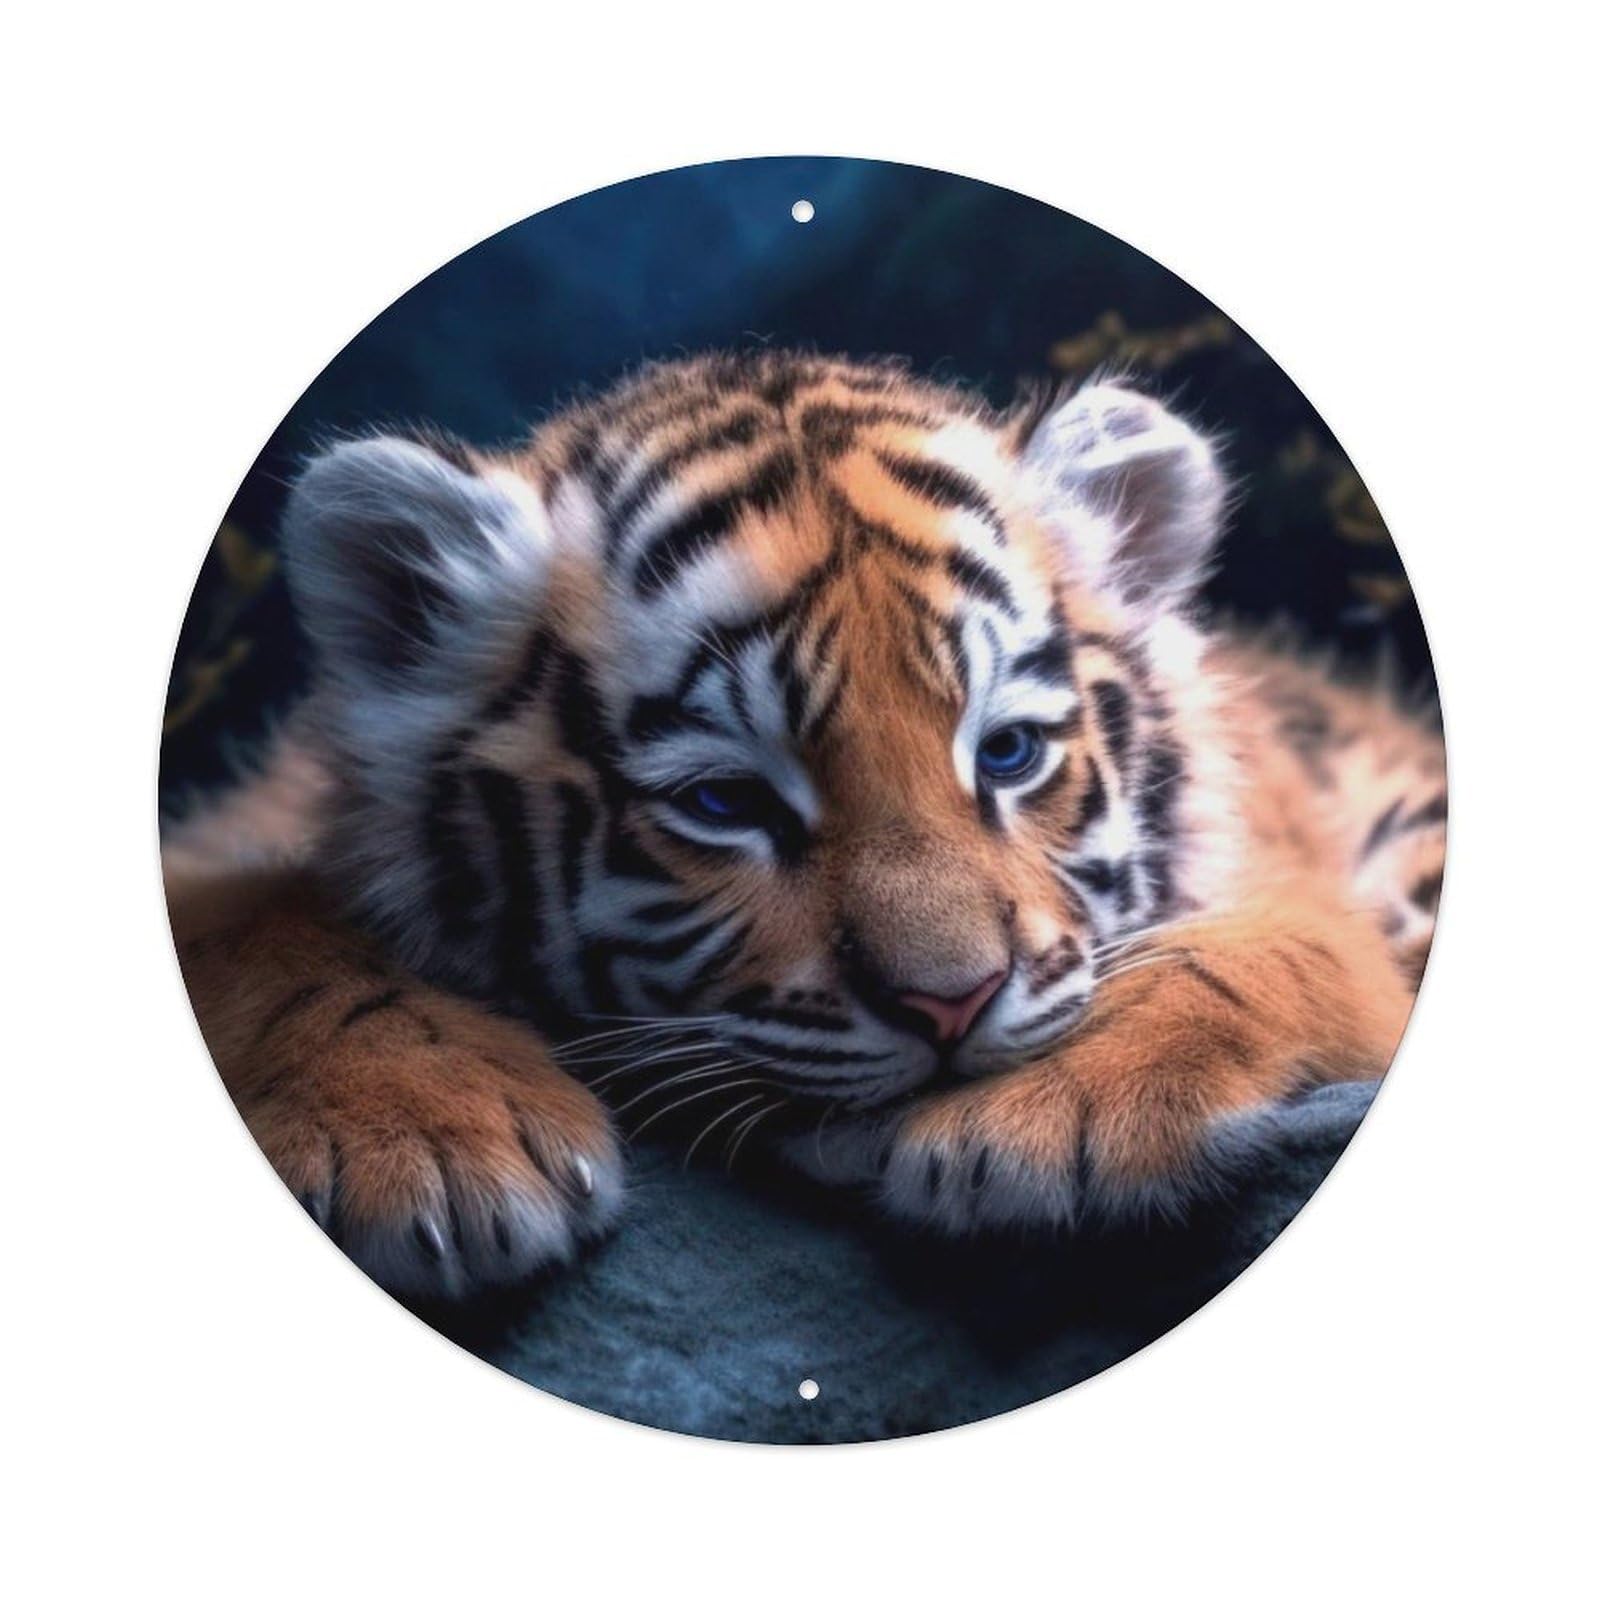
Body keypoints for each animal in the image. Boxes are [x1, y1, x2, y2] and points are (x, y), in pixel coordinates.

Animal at [164, 349, 1446, 1300]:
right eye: (724, 803)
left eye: (1007, 753)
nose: (949, 1005)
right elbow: (252, 918)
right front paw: (432, 1138)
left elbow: (1287, 942)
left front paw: (1060, 1114)